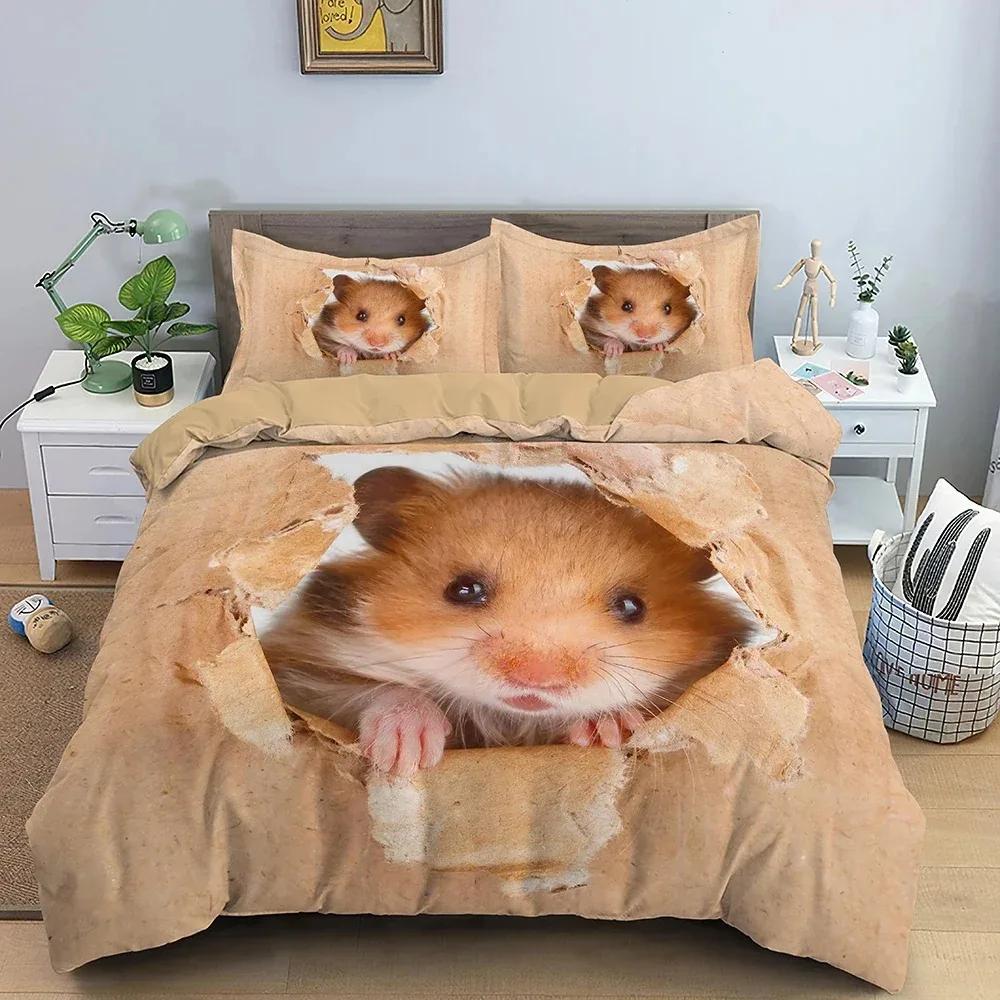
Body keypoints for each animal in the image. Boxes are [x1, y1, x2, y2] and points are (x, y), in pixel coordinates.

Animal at [260, 466, 756, 776]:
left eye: (633, 607)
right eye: (462, 589)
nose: (537, 680)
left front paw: (607, 728)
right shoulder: (298, 671)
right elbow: (384, 691)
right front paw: (405, 755)